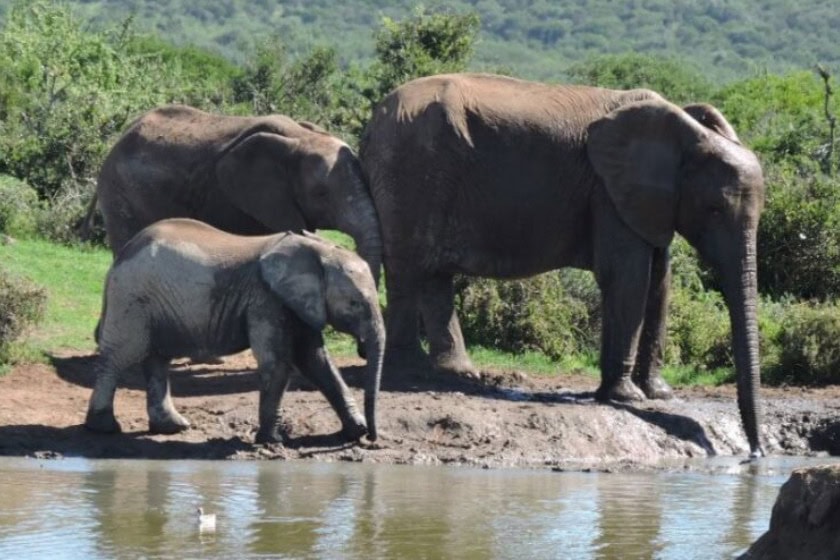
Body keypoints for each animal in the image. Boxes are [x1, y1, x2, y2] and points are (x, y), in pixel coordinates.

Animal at [84, 218, 384, 443]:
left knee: (157, 359)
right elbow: (278, 362)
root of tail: (122, 255)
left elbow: (317, 362)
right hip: (131, 298)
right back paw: (104, 428)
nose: (373, 439)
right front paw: (272, 441)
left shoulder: (296, 302)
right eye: (355, 303)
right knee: (119, 357)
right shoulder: (265, 299)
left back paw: (173, 427)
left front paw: (355, 432)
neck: (315, 250)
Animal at [359, 73, 765, 456]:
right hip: (411, 169)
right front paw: (625, 397)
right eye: (714, 209)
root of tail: (373, 120)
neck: (685, 133)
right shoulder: (608, 192)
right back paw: (409, 369)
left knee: (434, 274)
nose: (756, 452)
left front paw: (659, 395)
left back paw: (458, 374)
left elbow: (660, 286)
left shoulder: (647, 201)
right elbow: (628, 279)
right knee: (408, 268)